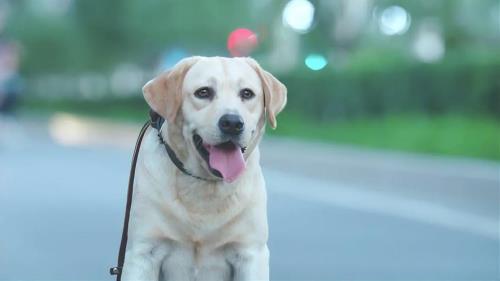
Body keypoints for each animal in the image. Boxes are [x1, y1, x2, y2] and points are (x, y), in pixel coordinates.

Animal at [120, 57, 286, 280]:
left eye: (247, 93)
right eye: (204, 92)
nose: (232, 122)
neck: (205, 184)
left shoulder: (251, 252)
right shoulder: (144, 251)